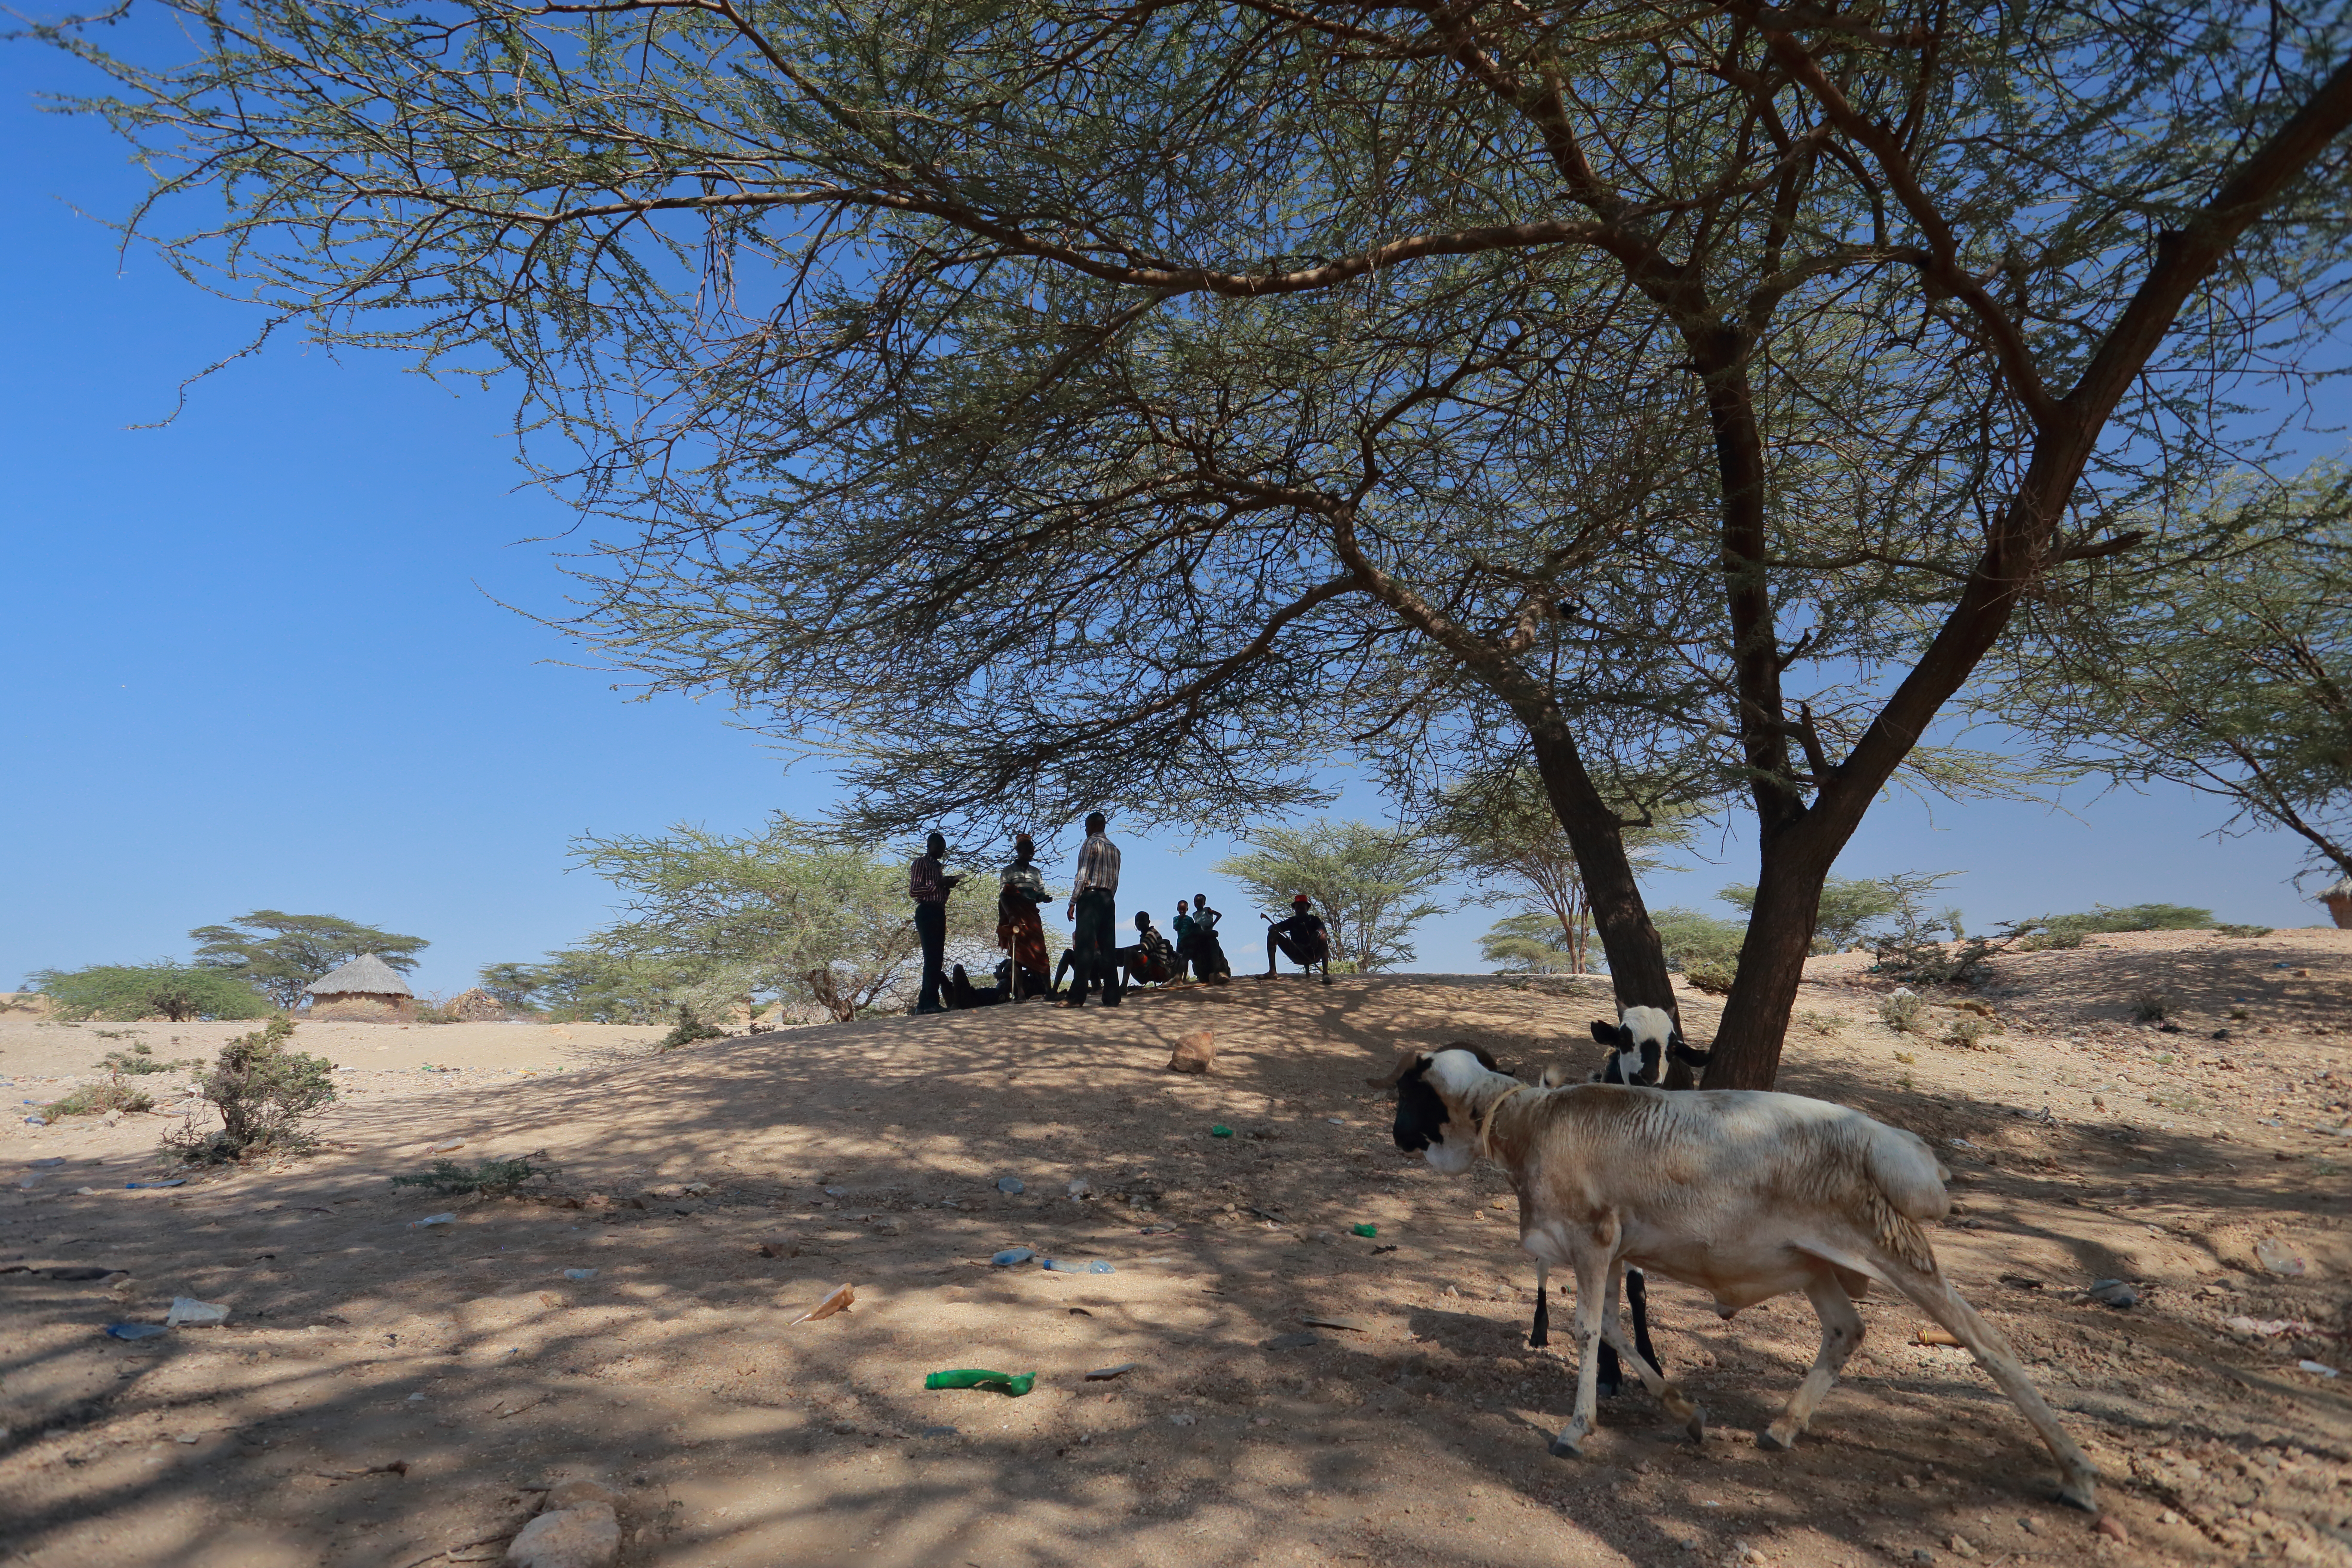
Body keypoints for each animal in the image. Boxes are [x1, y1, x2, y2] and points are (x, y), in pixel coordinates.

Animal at [1369, 1046, 2099, 1514]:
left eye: (1408, 1091)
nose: (1397, 1138)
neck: (1525, 1120)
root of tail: (1899, 1145)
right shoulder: (1611, 1248)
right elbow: (1614, 1329)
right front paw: (1685, 1413)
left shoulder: (1593, 1239)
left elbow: (1585, 1331)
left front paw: (1577, 1430)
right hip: (1814, 1261)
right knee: (1846, 1330)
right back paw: (1784, 1427)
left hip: (1891, 1245)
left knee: (1988, 1343)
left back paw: (2078, 1475)